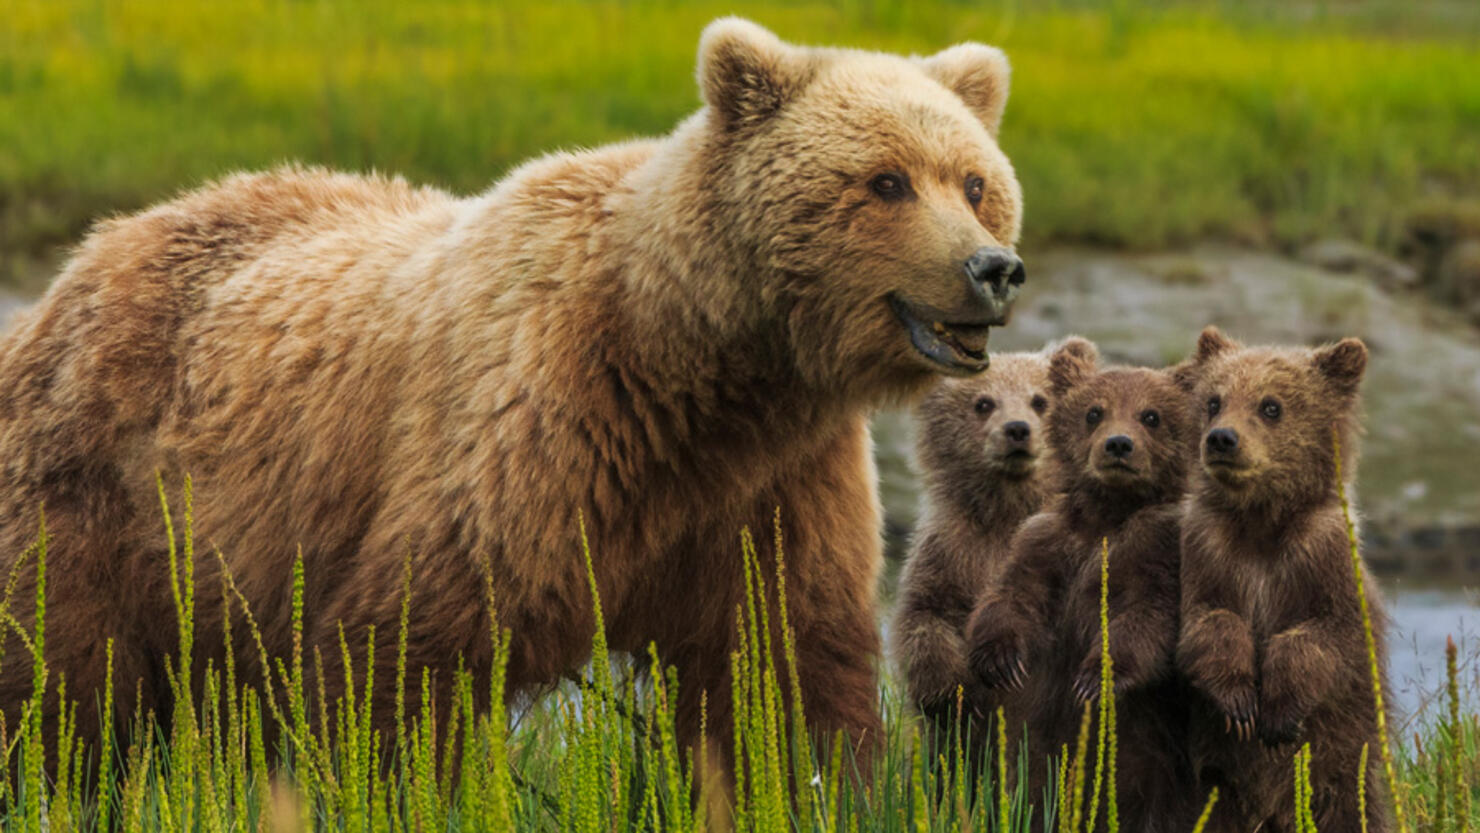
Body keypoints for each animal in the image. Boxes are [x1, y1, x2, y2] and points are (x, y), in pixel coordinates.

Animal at [0, 19, 1024, 763]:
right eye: (885, 180)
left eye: (975, 182)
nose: (993, 268)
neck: (699, 369)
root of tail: (91, 252)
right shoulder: (537, 428)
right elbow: (409, 657)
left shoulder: (774, 480)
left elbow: (784, 666)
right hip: (100, 494)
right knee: (61, 683)